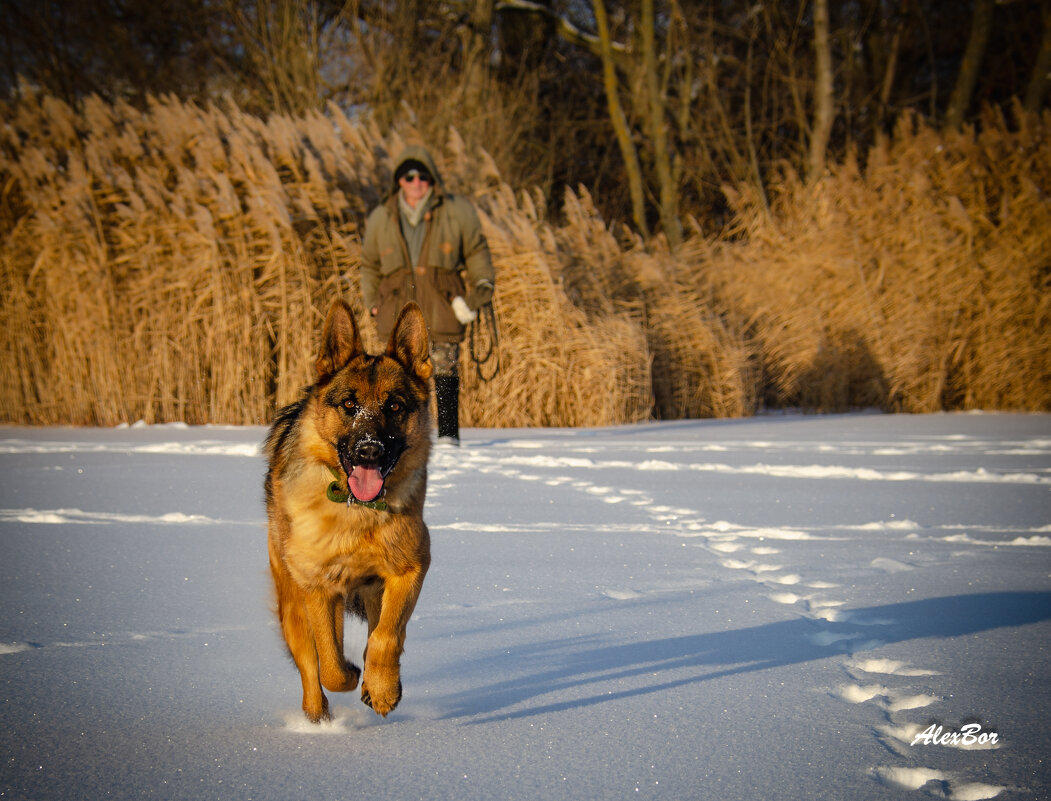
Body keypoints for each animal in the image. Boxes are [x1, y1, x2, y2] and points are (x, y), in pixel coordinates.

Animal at [264, 296, 433, 719]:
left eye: (395, 406)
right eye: (349, 404)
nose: (369, 451)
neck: (358, 513)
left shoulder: (410, 569)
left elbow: (386, 636)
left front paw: (383, 688)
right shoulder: (318, 588)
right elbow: (330, 664)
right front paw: (354, 675)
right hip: (292, 602)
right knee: (310, 663)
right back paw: (317, 717)